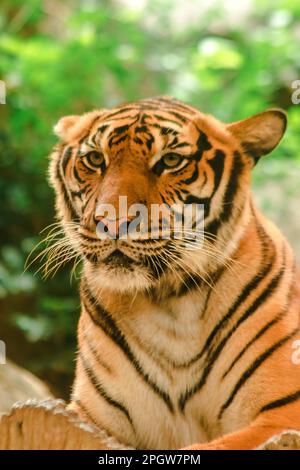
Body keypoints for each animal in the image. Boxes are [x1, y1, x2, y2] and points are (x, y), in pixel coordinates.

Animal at [48, 94, 298, 448]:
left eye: (170, 161)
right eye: (95, 159)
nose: (112, 222)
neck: (170, 302)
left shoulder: (282, 414)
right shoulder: (88, 417)